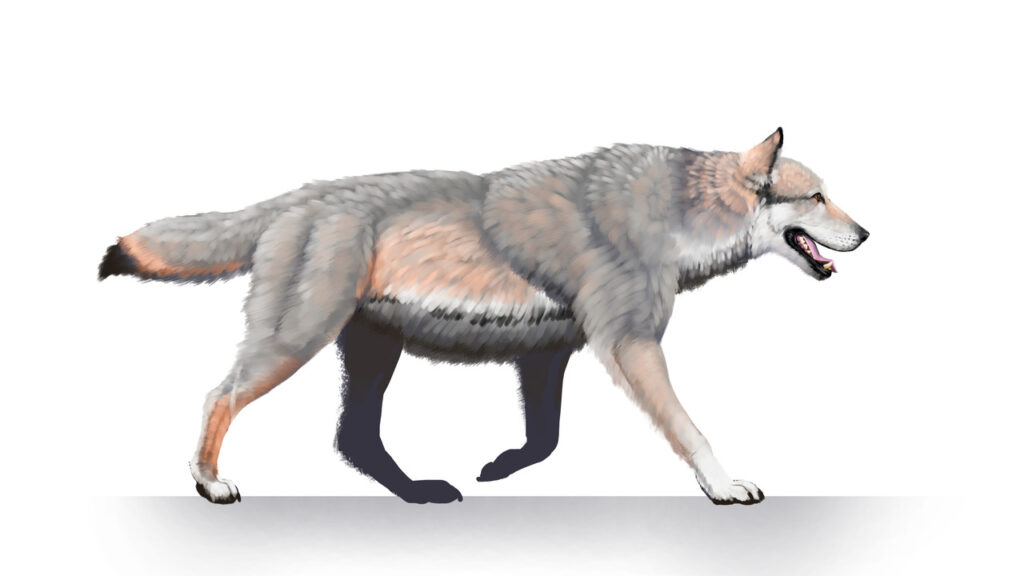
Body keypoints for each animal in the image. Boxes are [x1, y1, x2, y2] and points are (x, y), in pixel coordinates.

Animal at [98, 128, 868, 505]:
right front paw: (724, 487)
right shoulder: (629, 344)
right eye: (818, 197)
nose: (866, 234)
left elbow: (545, 441)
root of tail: (296, 196)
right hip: (296, 342)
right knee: (218, 397)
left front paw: (498, 470)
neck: (682, 212)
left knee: (355, 440)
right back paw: (208, 482)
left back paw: (421, 495)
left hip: (369, 352)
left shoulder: (554, 353)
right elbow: (691, 431)